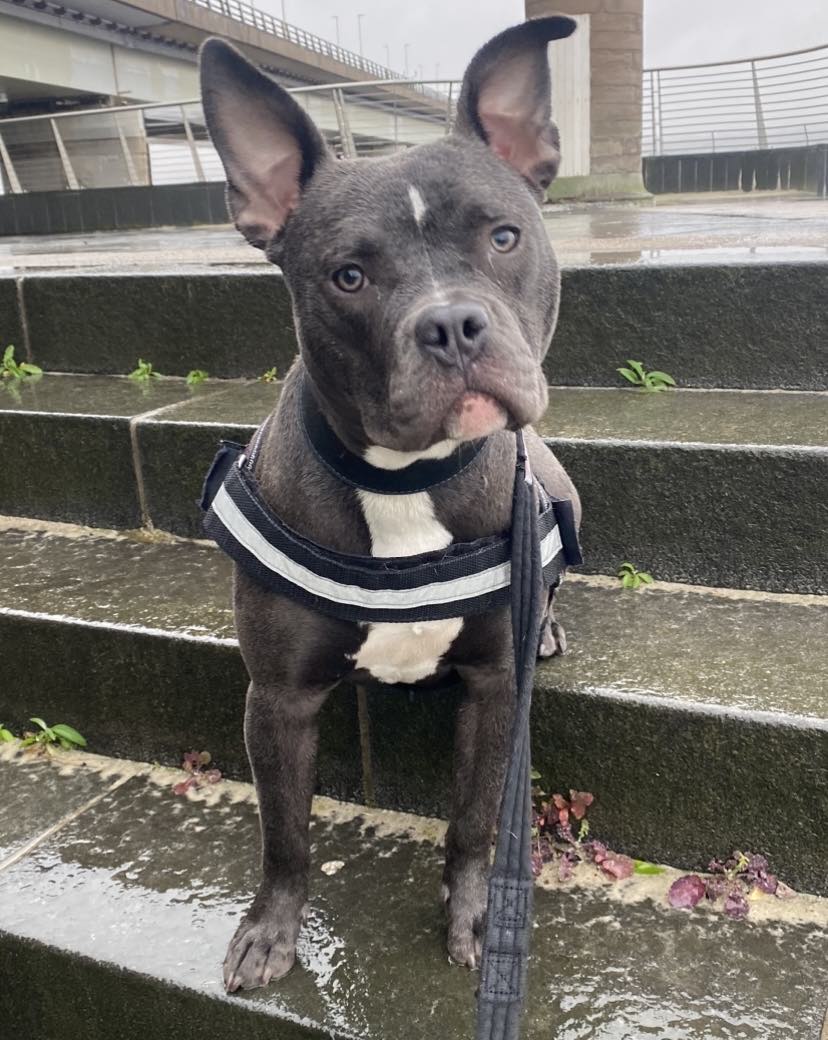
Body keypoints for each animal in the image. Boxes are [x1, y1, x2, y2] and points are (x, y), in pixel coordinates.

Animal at [198, 14, 582, 990]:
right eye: (348, 277)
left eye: (503, 237)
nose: (450, 325)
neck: (407, 477)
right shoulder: (279, 698)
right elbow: (285, 833)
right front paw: (272, 929)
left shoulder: (493, 690)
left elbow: (476, 821)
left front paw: (478, 919)